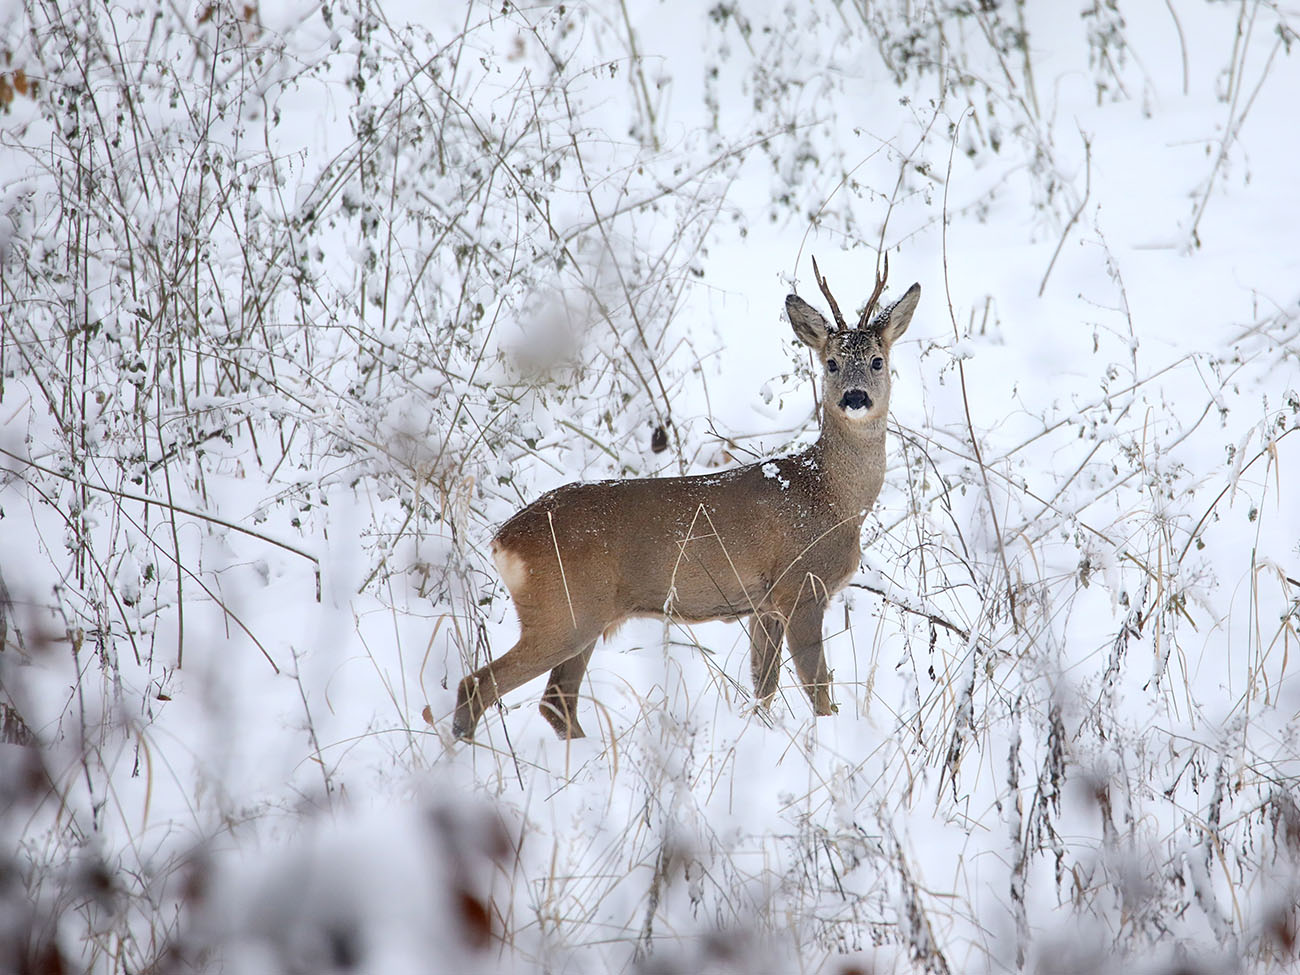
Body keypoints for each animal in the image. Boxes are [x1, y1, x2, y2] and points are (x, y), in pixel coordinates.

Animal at [453, 256, 919, 740]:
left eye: (877, 361)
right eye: (830, 363)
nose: (854, 397)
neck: (831, 497)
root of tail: (503, 540)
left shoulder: (763, 605)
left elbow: (763, 687)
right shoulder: (801, 588)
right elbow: (818, 690)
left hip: (584, 616)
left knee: (556, 700)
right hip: (564, 612)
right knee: (480, 684)